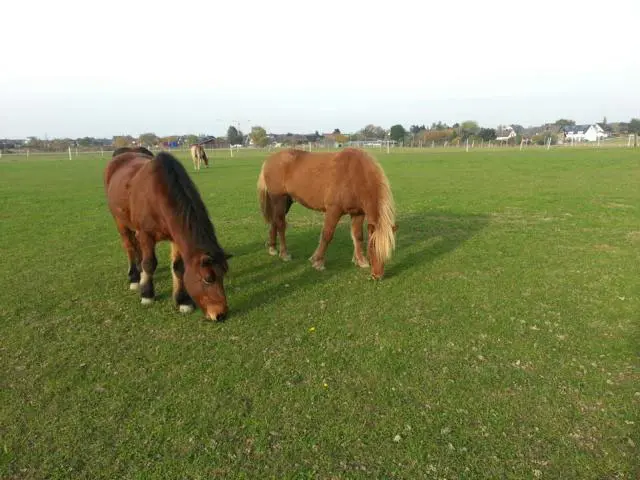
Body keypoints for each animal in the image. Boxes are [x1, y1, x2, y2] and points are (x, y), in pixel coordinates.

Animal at [105, 152, 232, 320]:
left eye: (223, 274)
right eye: (208, 279)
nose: (220, 314)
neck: (157, 194)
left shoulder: (175, 237)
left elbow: (178, 267)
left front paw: (183, 301)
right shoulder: (146, 235)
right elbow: (149, 263)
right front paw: (147, 294)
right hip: (120, 221)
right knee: (130, 246)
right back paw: (134, 277)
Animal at [255, 148, 396, 280]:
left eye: (388, 251)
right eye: (372, 248)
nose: (377, 276)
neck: (354, 174)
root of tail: (269, 159)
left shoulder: (358, 213)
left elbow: (358, 236)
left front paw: (360, 260)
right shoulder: (333, 210)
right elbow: (327, 235)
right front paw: (317, 261)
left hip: (287, 201)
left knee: (274, 221)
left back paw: (272, 247)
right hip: (280, 200)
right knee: (280, 224)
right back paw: (284, 254)